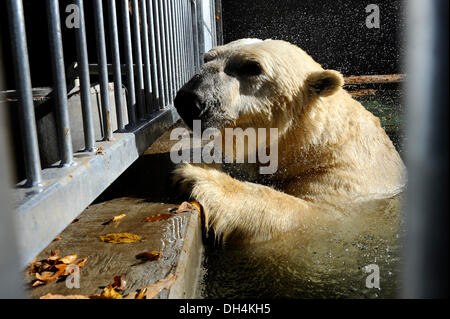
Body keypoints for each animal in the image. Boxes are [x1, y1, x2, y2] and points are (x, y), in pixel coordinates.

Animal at [171, 38, 404, 244]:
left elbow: (312, 214)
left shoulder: (344, 177)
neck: (312, 139)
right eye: (206, 57)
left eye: (252, 67)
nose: (188, 99)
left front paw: (199, 176)